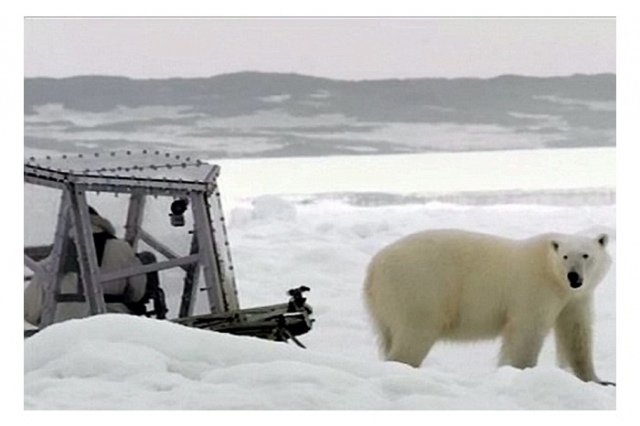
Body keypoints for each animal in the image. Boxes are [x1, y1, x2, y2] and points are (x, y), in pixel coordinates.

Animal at [362, 230, 612, 386]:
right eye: (565, 256)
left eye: (586, 255)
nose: (574, 276)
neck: (553, 276)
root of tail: (373, 268)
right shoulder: (534, 289)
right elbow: (527, 332)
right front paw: (520, 372)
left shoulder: (576, 298)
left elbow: (576, 333)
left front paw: (599, 380)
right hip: (418, 287)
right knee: (415, 333)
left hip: (388, 305)